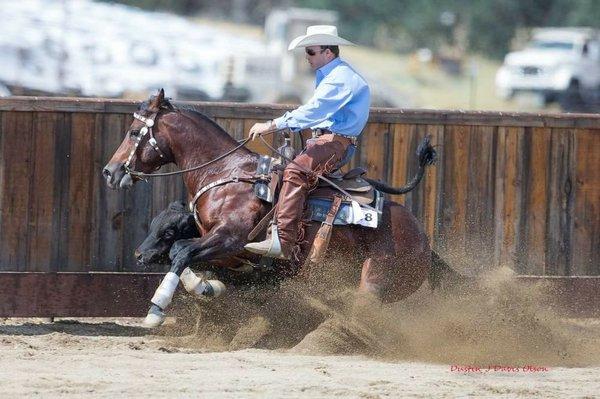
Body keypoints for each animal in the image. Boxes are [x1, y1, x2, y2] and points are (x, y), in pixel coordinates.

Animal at [103, 90, 450, 328]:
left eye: (134, 132)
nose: (110, 171)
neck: (225, 174)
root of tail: (423, 240)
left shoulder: (229, 238)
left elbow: (180, 251)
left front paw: (156, 309)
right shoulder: (232, 255)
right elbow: (187, 258)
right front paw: (206, 287)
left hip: (376, 281)